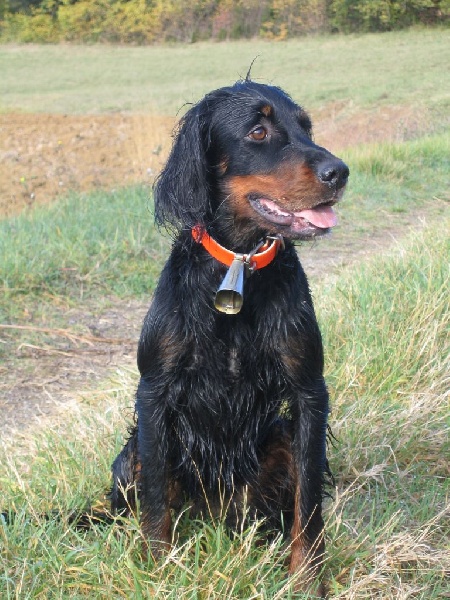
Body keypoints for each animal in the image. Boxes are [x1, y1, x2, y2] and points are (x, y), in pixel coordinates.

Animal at [110, 79, 350, 596]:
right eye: (258, 131)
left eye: (307, 126)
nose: (339, 172)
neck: (238, 267)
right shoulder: (154, 392)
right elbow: (155, 502)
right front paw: (158, 572)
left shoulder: (308, 392)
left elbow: (308, 503)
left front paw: (307, 579)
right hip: (131, 452)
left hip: (277, 438)